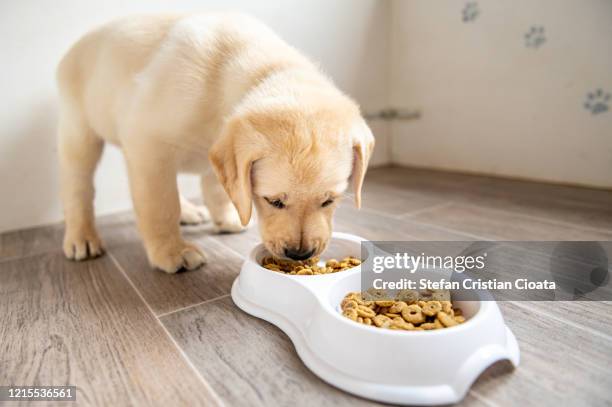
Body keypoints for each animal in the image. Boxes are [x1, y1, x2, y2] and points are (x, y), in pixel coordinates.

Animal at [57, 13, 372, 274]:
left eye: (329, 200)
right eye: (274, 201)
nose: (299, 254)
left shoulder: (219, 152)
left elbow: (218, 187)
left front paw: (225, 217)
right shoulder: (148, 144)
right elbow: (160, 205)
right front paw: (171, 252)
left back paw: (190, 212)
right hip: (79, 131)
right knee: (78, 187)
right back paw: (82, 237)